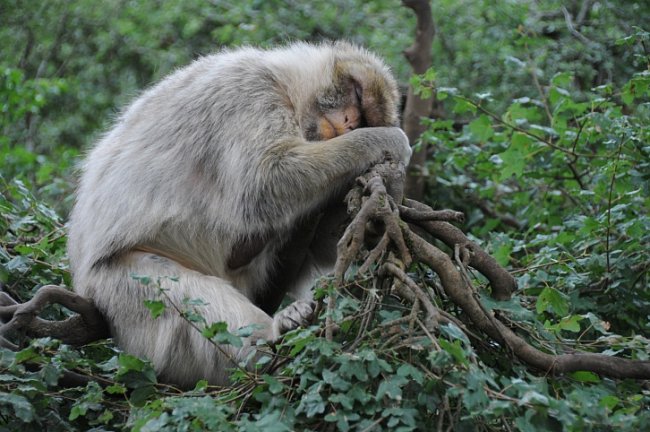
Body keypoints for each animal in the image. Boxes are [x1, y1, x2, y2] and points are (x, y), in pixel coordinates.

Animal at [67, 41, 410, 388]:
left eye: (364, 117)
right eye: (357, 94)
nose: (352, 121)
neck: (285, 85)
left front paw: (389, 189)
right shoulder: (249, 93)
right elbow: (265, 180)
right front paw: (390, 141)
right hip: (120, 287)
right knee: (179, 294)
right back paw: (274, 341)